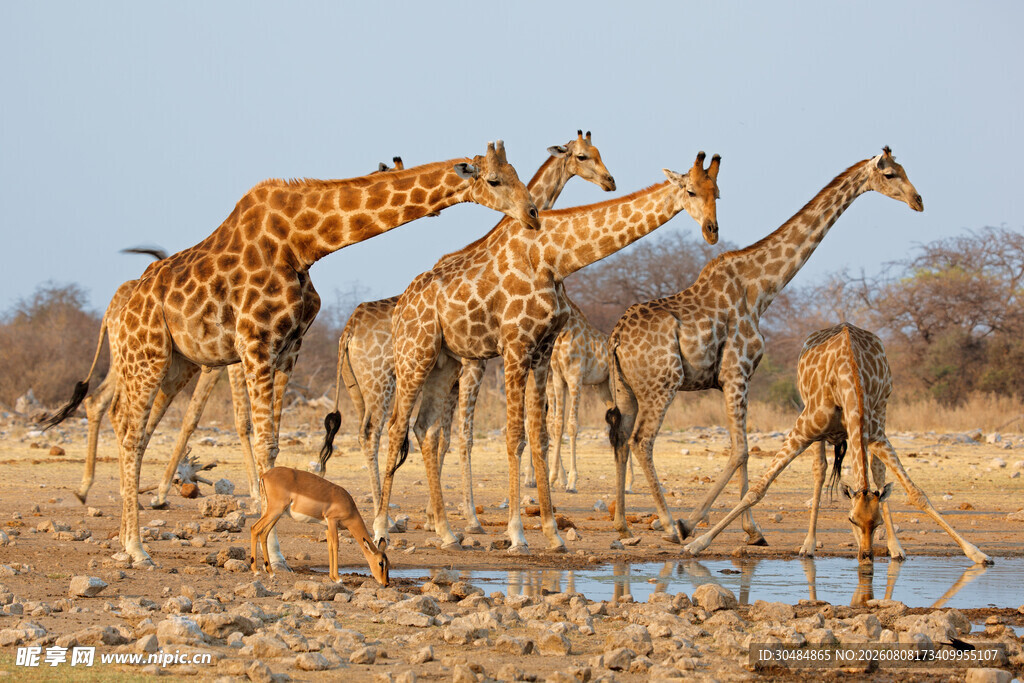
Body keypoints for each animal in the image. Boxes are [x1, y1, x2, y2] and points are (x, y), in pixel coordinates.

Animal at [250, 467, 389, 585]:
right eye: (380, 563)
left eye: (388, 562)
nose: (386, 583)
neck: (349, 506)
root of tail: (264, 475)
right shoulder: (332, 521)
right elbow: (335, 545)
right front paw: (338, 579)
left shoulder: (326, 526)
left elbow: (329, 546)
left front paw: (332, 577)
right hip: (275, 511)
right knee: (255, 528)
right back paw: (256, 571)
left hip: (276, 513)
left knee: (264, 533)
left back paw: (271, 572)